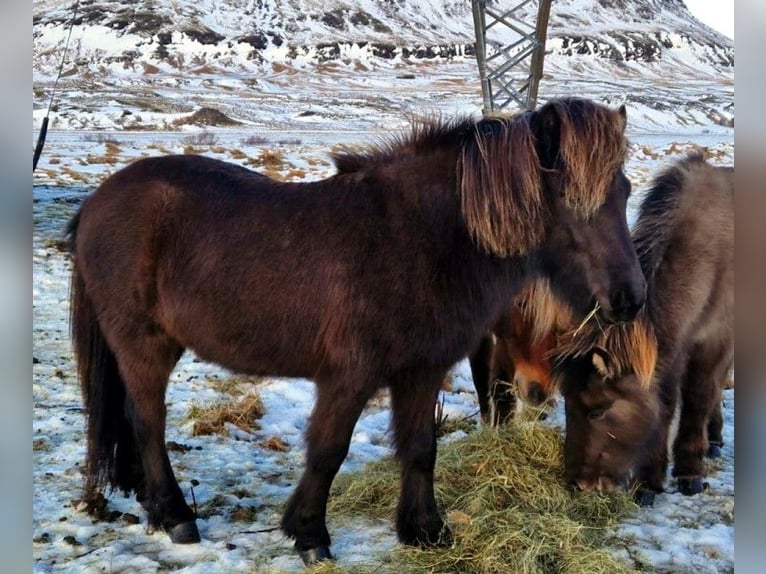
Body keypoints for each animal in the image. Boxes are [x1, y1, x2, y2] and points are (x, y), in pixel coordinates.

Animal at [554, 152, 733, 504]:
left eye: (597, 412)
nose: (579, 483)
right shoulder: (675, 346)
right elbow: (665, 404)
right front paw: (649, 482)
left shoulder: (714, 340)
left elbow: (697, 398)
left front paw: (690, 473)